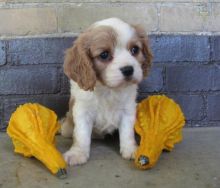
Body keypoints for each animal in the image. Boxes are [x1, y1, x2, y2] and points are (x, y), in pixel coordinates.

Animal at [61, 16, 152, 165]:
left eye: (135, 50)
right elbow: (81, 135)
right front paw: (78, 153)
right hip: (67, 128)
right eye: (104, 54)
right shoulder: (82, 111)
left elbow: (127, 133)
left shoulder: (128, 110)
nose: (128, 69)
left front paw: (130, 149)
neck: (108, 89)